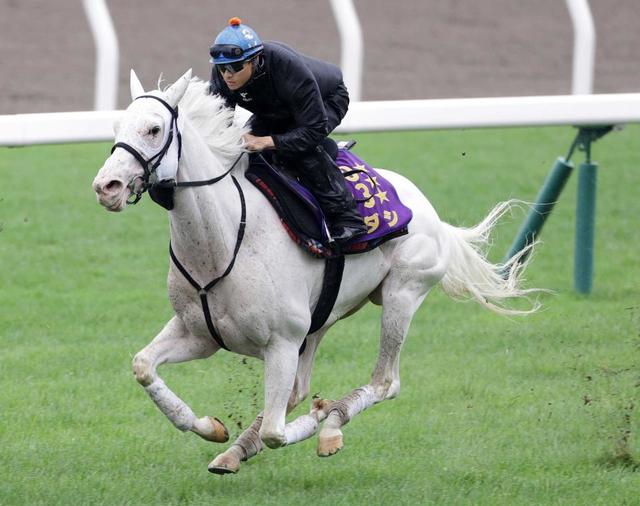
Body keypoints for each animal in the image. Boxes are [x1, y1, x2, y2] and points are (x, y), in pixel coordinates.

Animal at [92, 69, 540, 474]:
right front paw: (210, 427)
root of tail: (431, 212)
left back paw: (331, 425)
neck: (223, 240)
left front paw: (321, 416)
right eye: (116, 126)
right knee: (299, 389)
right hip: (321, 317)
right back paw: (234, 452)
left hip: (402, 294)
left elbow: (276, 431)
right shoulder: (200, 333)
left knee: (384, 382)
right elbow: (143, 366)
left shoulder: (281, 342)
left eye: (154, 129)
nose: (106, 186)